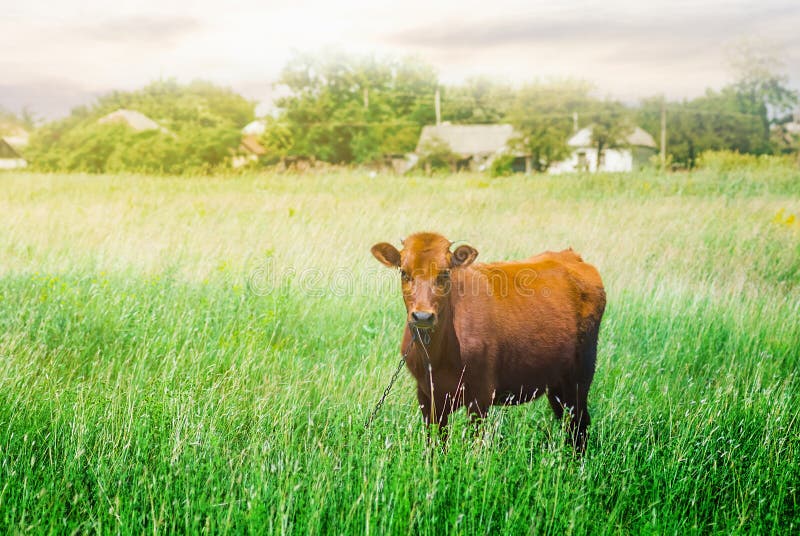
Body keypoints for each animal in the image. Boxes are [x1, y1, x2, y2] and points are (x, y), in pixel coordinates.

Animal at [372, 231, 604, 452]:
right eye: (404, 272)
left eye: (445, 273)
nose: (422, 316)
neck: (437, 356)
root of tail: (570, 256)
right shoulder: (427, 396)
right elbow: (436, 444)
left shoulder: (480, 395)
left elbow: (474, 445)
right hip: (556, 383)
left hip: (580, 377)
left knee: (579, 425)